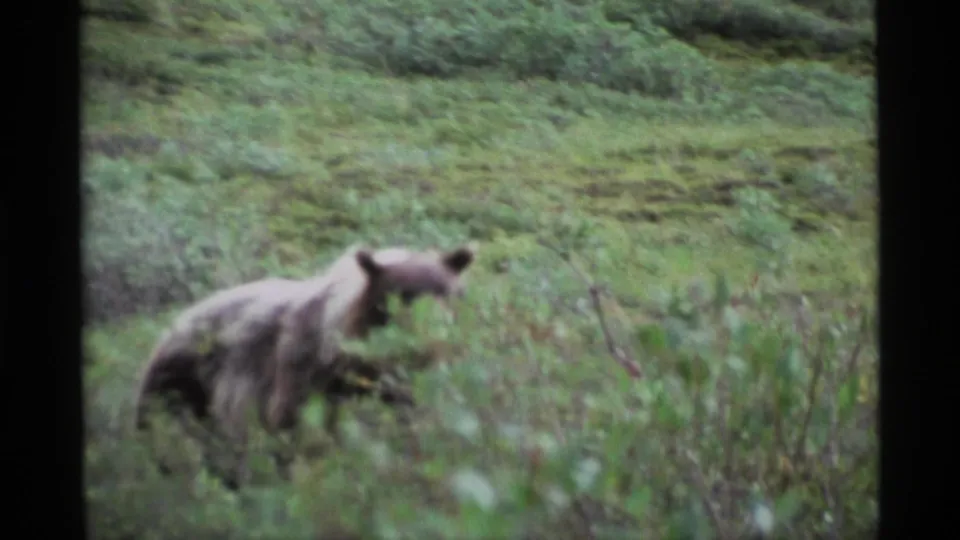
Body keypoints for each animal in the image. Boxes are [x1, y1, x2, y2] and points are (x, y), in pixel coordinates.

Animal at [132, 243, 476, 488]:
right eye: (402, 295)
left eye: (447, 291)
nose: (434, 337)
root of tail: (177, 320)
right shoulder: (305, 373)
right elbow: (296, 426)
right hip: (184, 383)